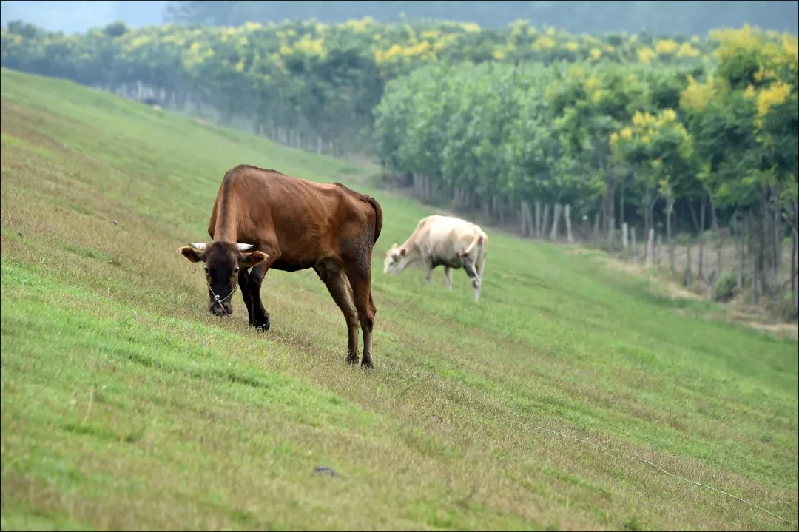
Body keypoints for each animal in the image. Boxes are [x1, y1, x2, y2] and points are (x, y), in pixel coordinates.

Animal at [179, 164, 384, 368]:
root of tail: (359, 196)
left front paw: (262, 320)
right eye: (207, 270)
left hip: (359, 263)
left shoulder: (270, 250)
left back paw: (367, 361)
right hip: (330, 269)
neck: (241, 193)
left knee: (367, 311)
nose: (219, 309)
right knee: (350, 311)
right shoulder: (247, 257)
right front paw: (253, 320)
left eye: (233, 270)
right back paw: (352, 357)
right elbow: (246, 288)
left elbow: (254, 281)